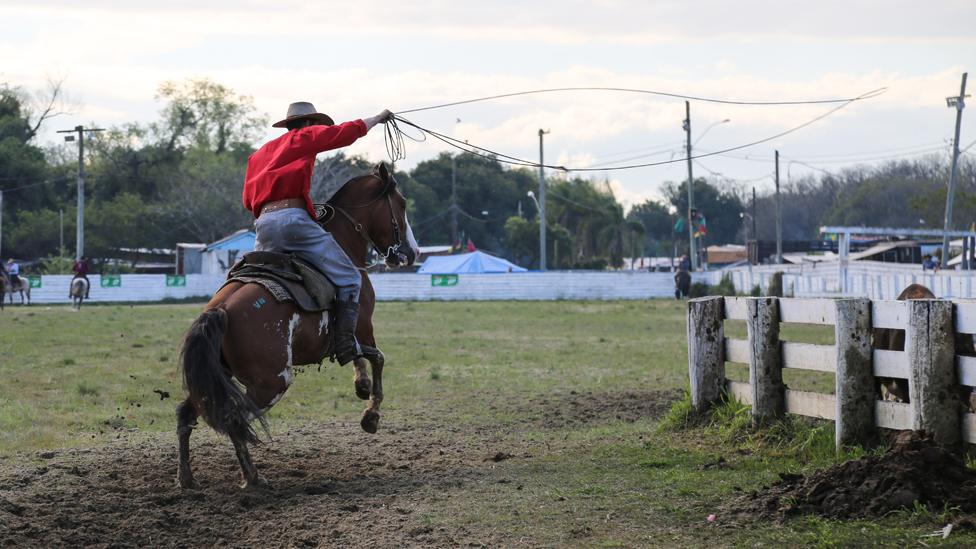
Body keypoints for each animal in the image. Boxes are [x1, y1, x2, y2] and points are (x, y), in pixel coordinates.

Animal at [176, 163, 420, 488]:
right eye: (402, 203)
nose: (412, 253)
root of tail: (220, 310)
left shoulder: (354, 333)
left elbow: (359, 357)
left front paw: (362, 385)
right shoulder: (363, 326)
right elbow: (377, 358)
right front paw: (370, 416)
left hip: (216, 379)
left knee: (187, 416)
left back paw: (187, 479)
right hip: (271, 383)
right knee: (235, 420)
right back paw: (253, 478)